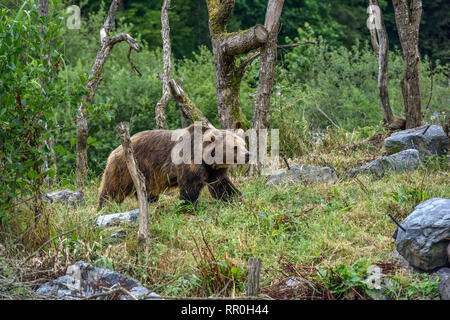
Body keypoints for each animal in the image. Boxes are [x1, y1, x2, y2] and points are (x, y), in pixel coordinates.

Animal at [97, 123, 250, 210]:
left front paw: (236, 197)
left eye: (244, 144)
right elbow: (190, 185)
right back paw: (105, 206)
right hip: (126, 167)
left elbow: (221, 185)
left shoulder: (213, 169)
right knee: (113, 189)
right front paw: (189, 205)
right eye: (235, 147)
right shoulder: (190, 160)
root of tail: (115, 149)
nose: (248, 154)